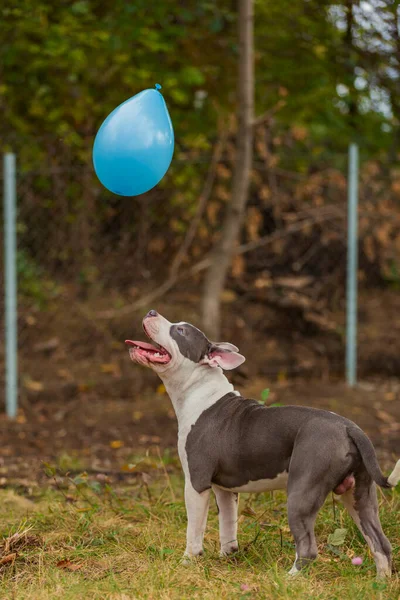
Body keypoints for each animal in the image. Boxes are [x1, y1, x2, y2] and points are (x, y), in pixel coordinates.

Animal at [126, 310, 400, 576]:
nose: (151, 311)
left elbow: (194, 529)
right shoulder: (225, 490)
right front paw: (227, 557)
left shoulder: (196, 483)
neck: (199, 390)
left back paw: (289, 579)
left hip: (302, 493)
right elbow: (228, 525)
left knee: (308, 549)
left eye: (180, 330)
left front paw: (187, 561)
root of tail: (349, 427)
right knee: (380, 544)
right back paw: (381, 583)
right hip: (360, 494)